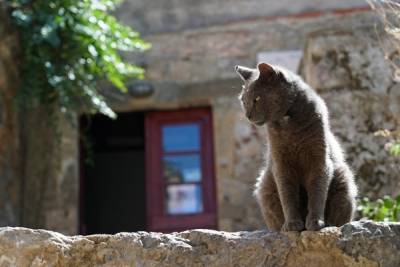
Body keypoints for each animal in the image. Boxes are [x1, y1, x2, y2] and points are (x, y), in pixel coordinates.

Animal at [234, 63, 356, 232]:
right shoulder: (281, 164)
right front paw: (292, 225)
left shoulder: (319, 160)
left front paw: (315, 223)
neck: (287, 120)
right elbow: (287, 195)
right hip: (265, 185)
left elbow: (317, 192)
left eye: (257, 99)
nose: (247, 115)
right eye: (243, 100)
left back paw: (329, 223)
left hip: (343, 178)